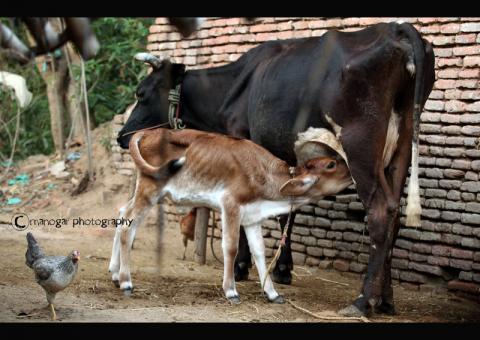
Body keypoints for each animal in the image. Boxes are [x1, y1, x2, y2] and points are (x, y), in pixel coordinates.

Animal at [117, 22, 436, 318]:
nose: (122, 135)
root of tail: (396, 28)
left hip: (361, 146)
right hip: (401, 148)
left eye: (141, 93)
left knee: (380, 212)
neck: (233, 86)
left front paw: (242, 266)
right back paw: (386, 300)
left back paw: (362, 301)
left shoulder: (243, 138)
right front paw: (282, 269)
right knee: (394, 214)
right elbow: (287, 211)